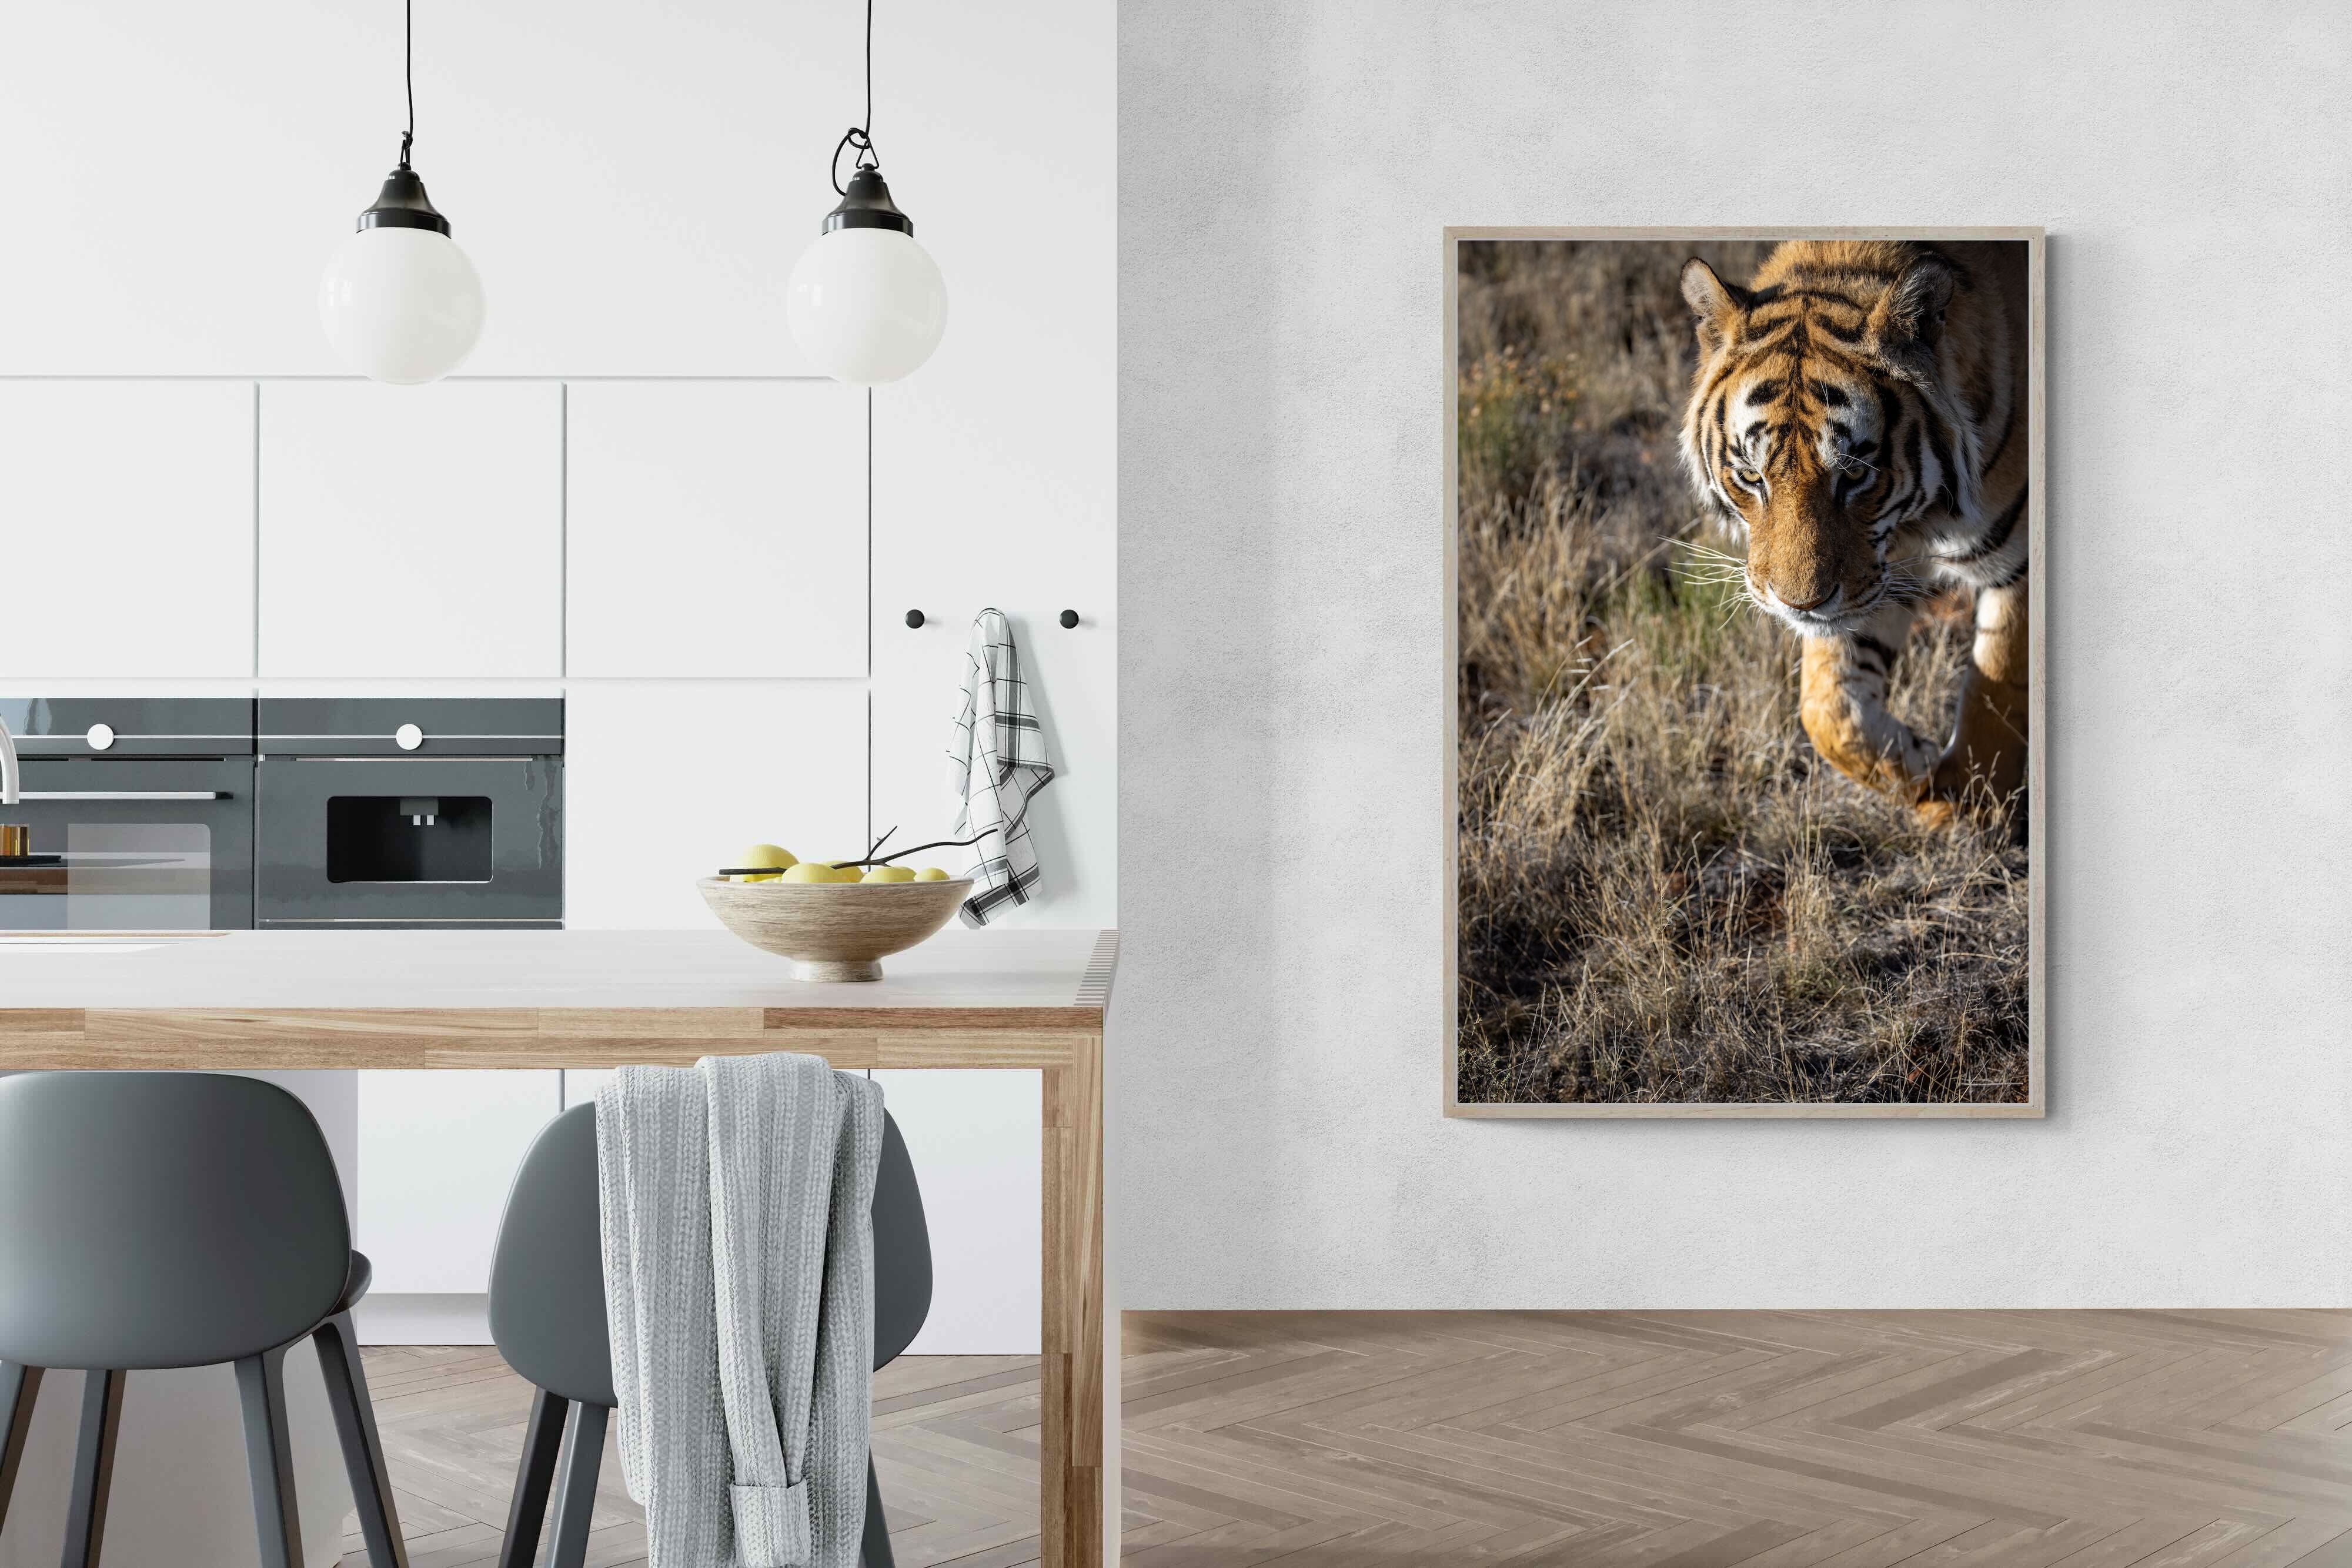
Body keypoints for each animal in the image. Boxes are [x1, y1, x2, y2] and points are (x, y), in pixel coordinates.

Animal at [1676, 239, 2028, 826]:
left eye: (1856, 473)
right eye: (1751, 475)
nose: (1799, 604)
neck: (1919, 522)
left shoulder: (2018, 565)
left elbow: (1995, 691)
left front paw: (1972, 807)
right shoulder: (1876, 577)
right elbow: (1828, 711)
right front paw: (1921, 767)